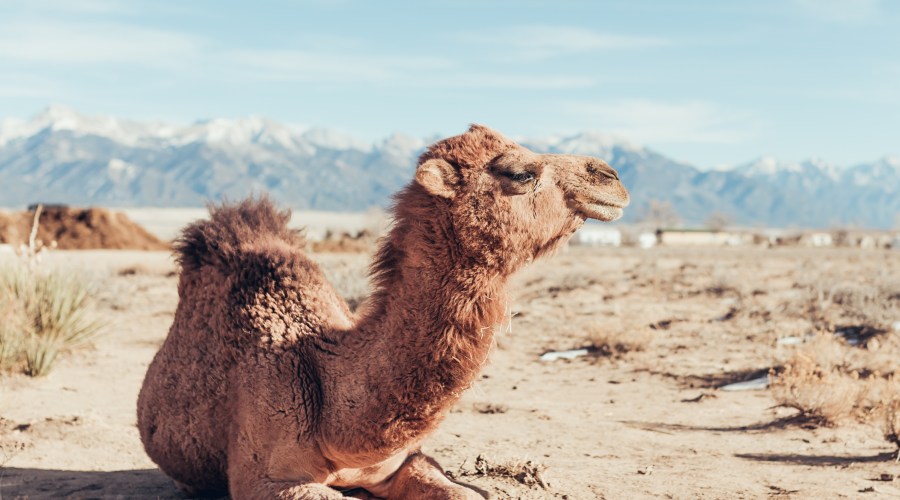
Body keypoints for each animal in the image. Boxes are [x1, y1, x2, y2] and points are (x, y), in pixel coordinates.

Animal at [136, 125, 630, 499]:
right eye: (520, 172)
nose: (611, 176)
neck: (330, 408)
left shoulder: (405, 461)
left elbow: (462, 492)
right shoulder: (266, 479)